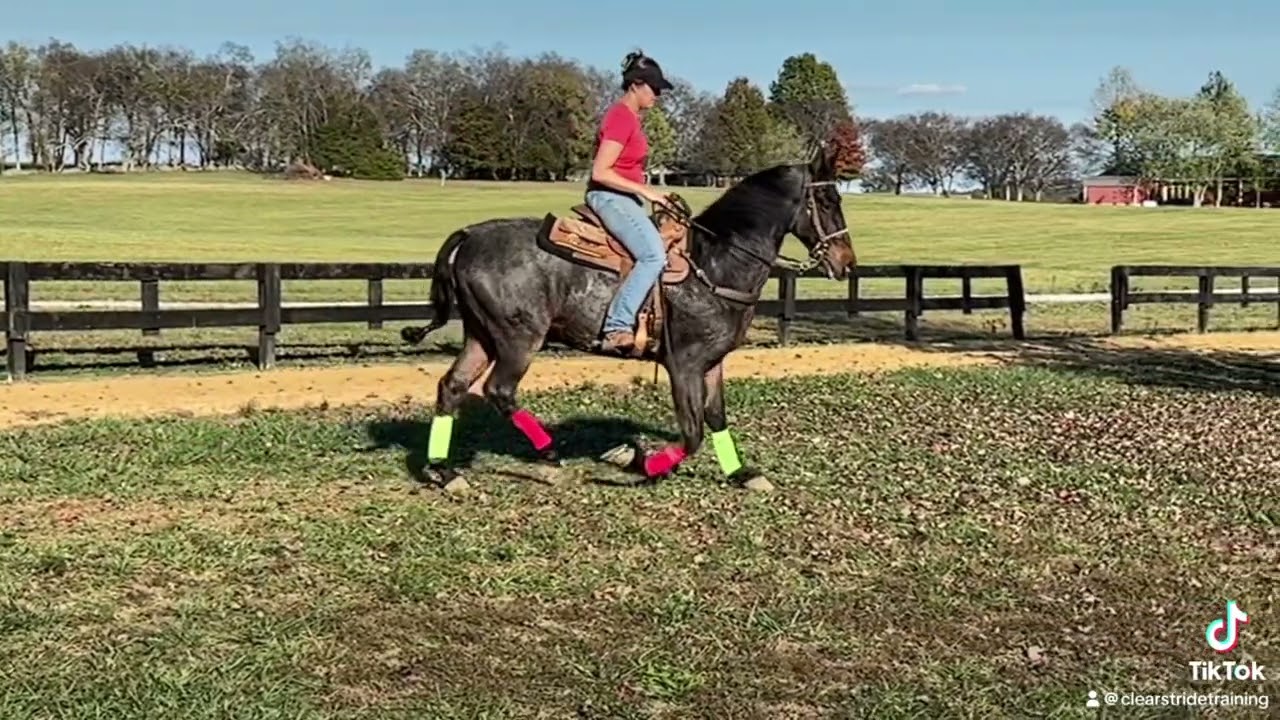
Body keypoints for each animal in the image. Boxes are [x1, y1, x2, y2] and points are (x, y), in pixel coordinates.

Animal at [401, 145, 856, 491]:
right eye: (829, 201)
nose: (846, 262)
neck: (716, 262)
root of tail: (469, 236)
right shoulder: (683, 363)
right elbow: (693, 433)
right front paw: (636, 461)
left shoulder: (712, 362)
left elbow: (716, 419)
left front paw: (743, 474)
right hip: (518, 338)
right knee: (499, 390)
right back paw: (549, 451)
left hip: (481, 334)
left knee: (452, 387)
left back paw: (444, 471)